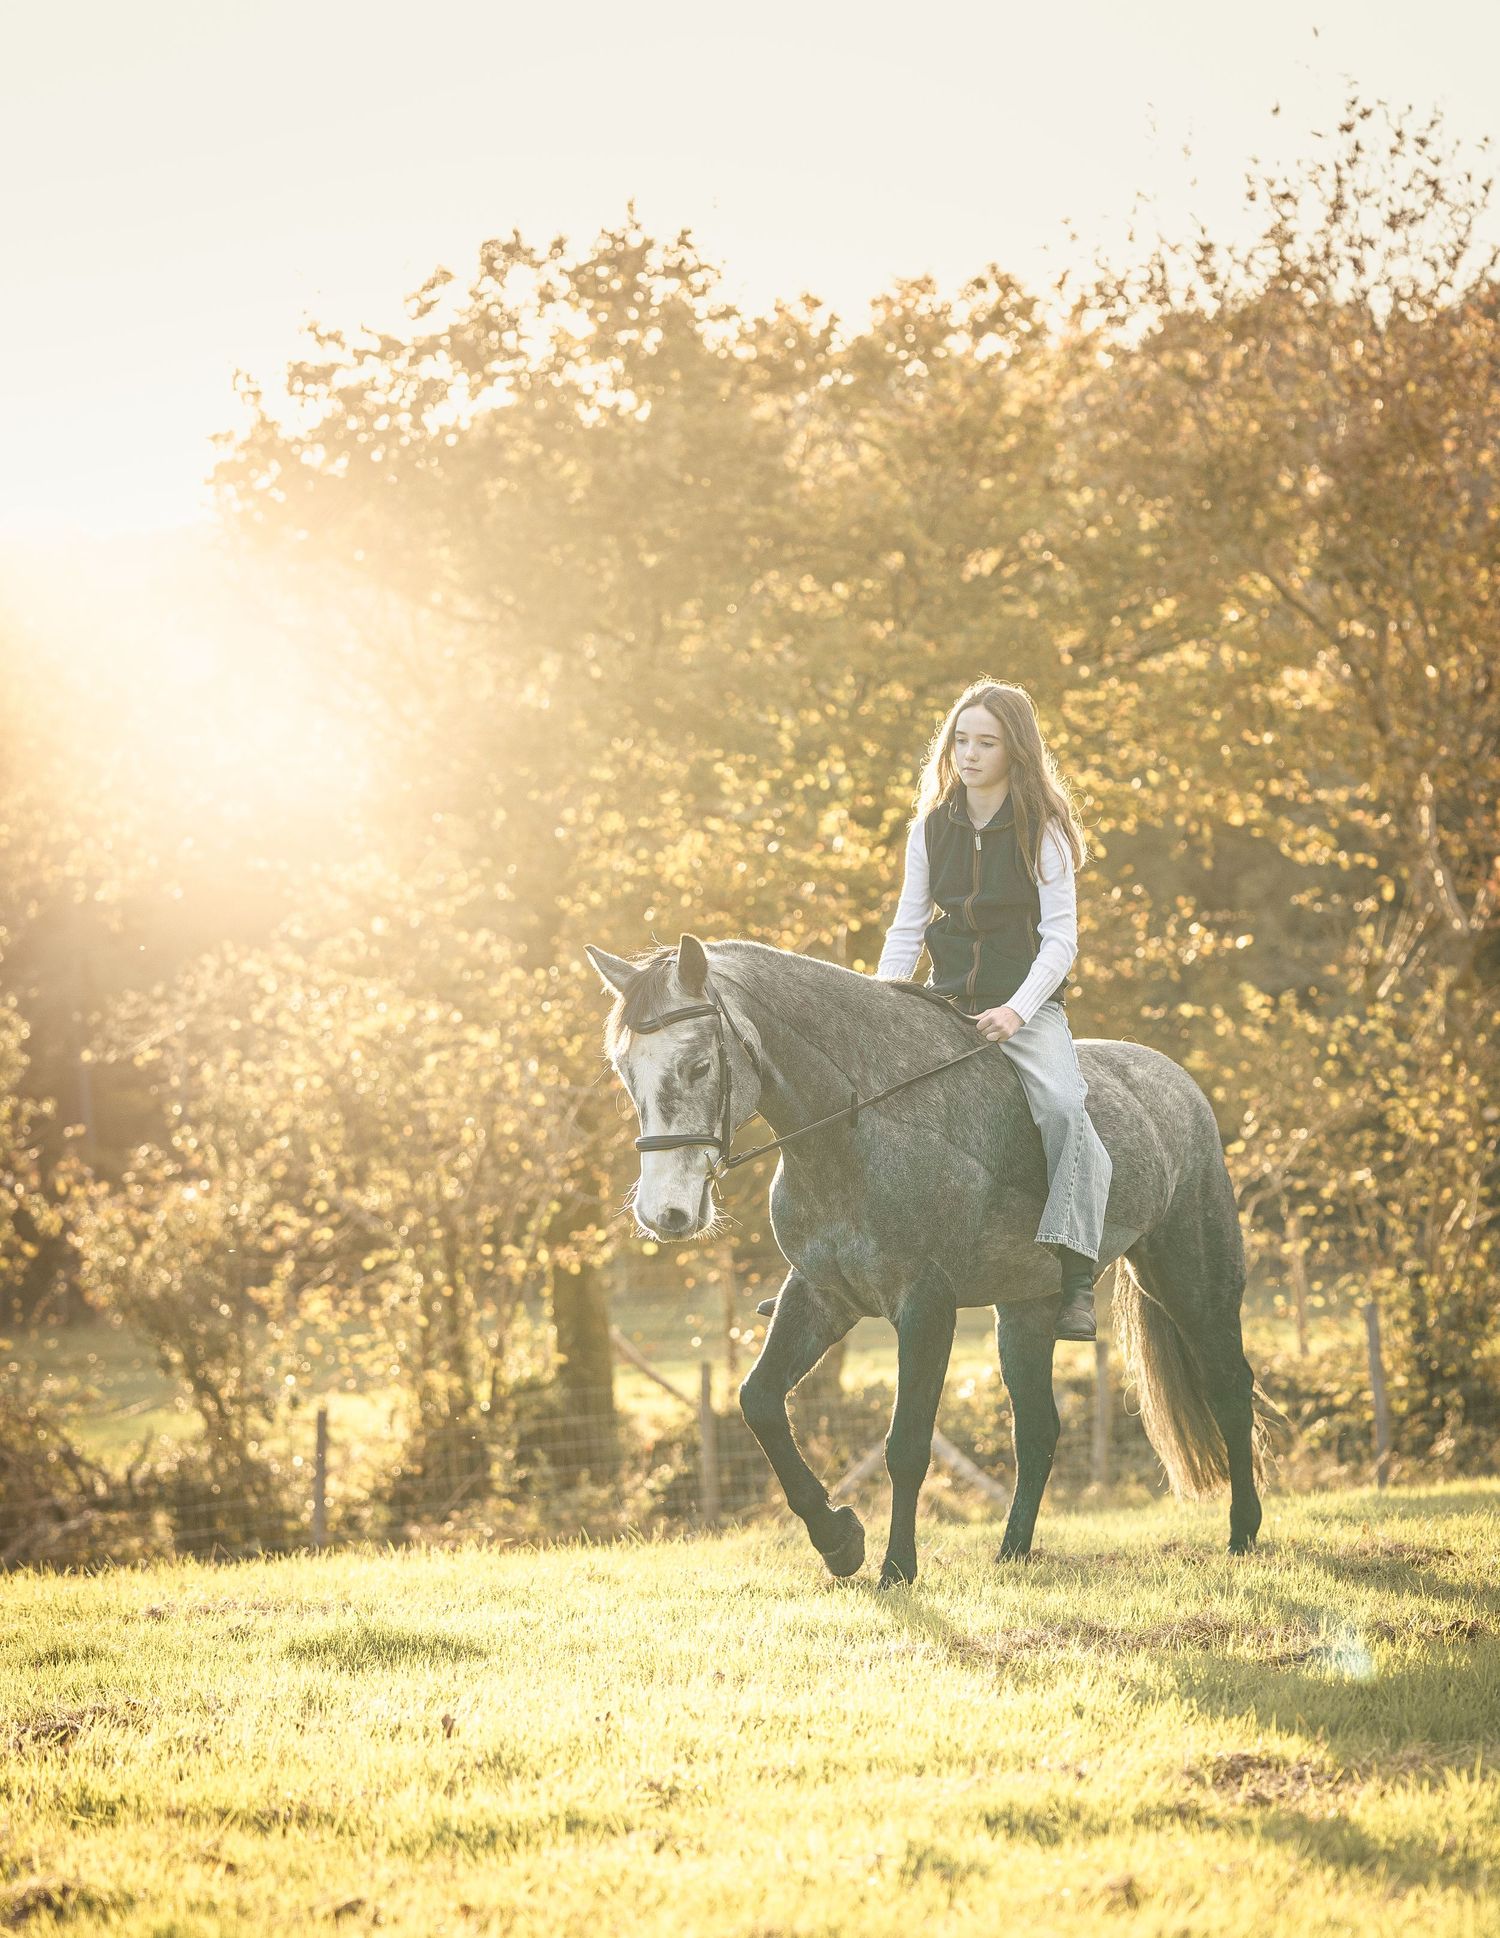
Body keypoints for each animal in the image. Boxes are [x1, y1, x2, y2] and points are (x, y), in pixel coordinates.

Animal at [586, 932, 1278, 1587]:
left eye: (700, 1064)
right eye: (624, 1071)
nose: (664, 1213)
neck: (858, 1125)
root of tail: (1176, 1083)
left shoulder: (925, 1306)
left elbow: (908, 1444)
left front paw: (896, 1568)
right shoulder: (819, 1295)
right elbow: (758, 1402)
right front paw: (838, 1541)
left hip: (1191, 1280)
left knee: (1228, 1387)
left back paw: (1243, 1533)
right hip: (1025, 1311)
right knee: (1038, 1430)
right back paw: (1013, 1553)